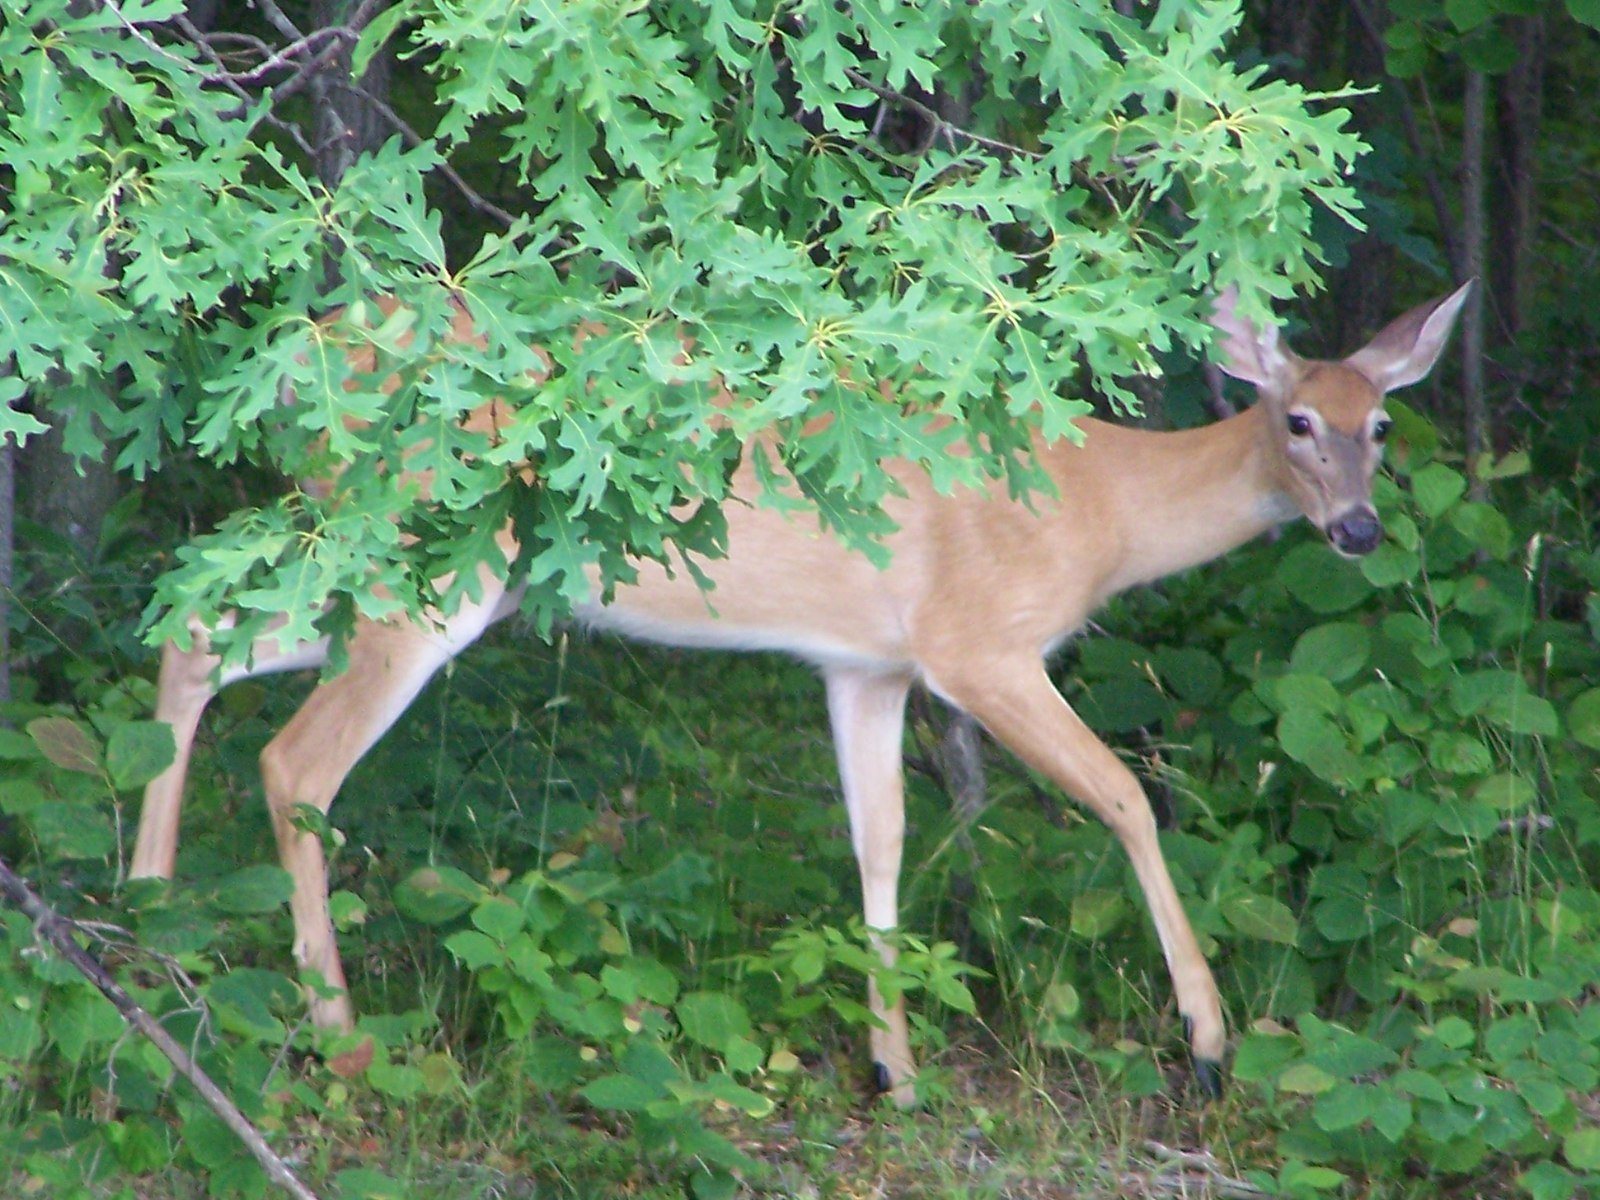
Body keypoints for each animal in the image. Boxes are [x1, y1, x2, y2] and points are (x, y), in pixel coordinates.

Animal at [130, 280, 1471, 1105]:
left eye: (1381, 426)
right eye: (1296, 422)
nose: (1356, 530)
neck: (1100, 510)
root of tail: (298, 363)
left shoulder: (865, 664)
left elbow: (879, 843)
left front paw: (895, 1071)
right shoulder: (978, 646)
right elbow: (1127, 801)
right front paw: (1206, 1041)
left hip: (377, 563)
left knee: (192, 633)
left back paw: (147, 917)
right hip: (424, 564)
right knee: (295, 761)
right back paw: (337, 1040)